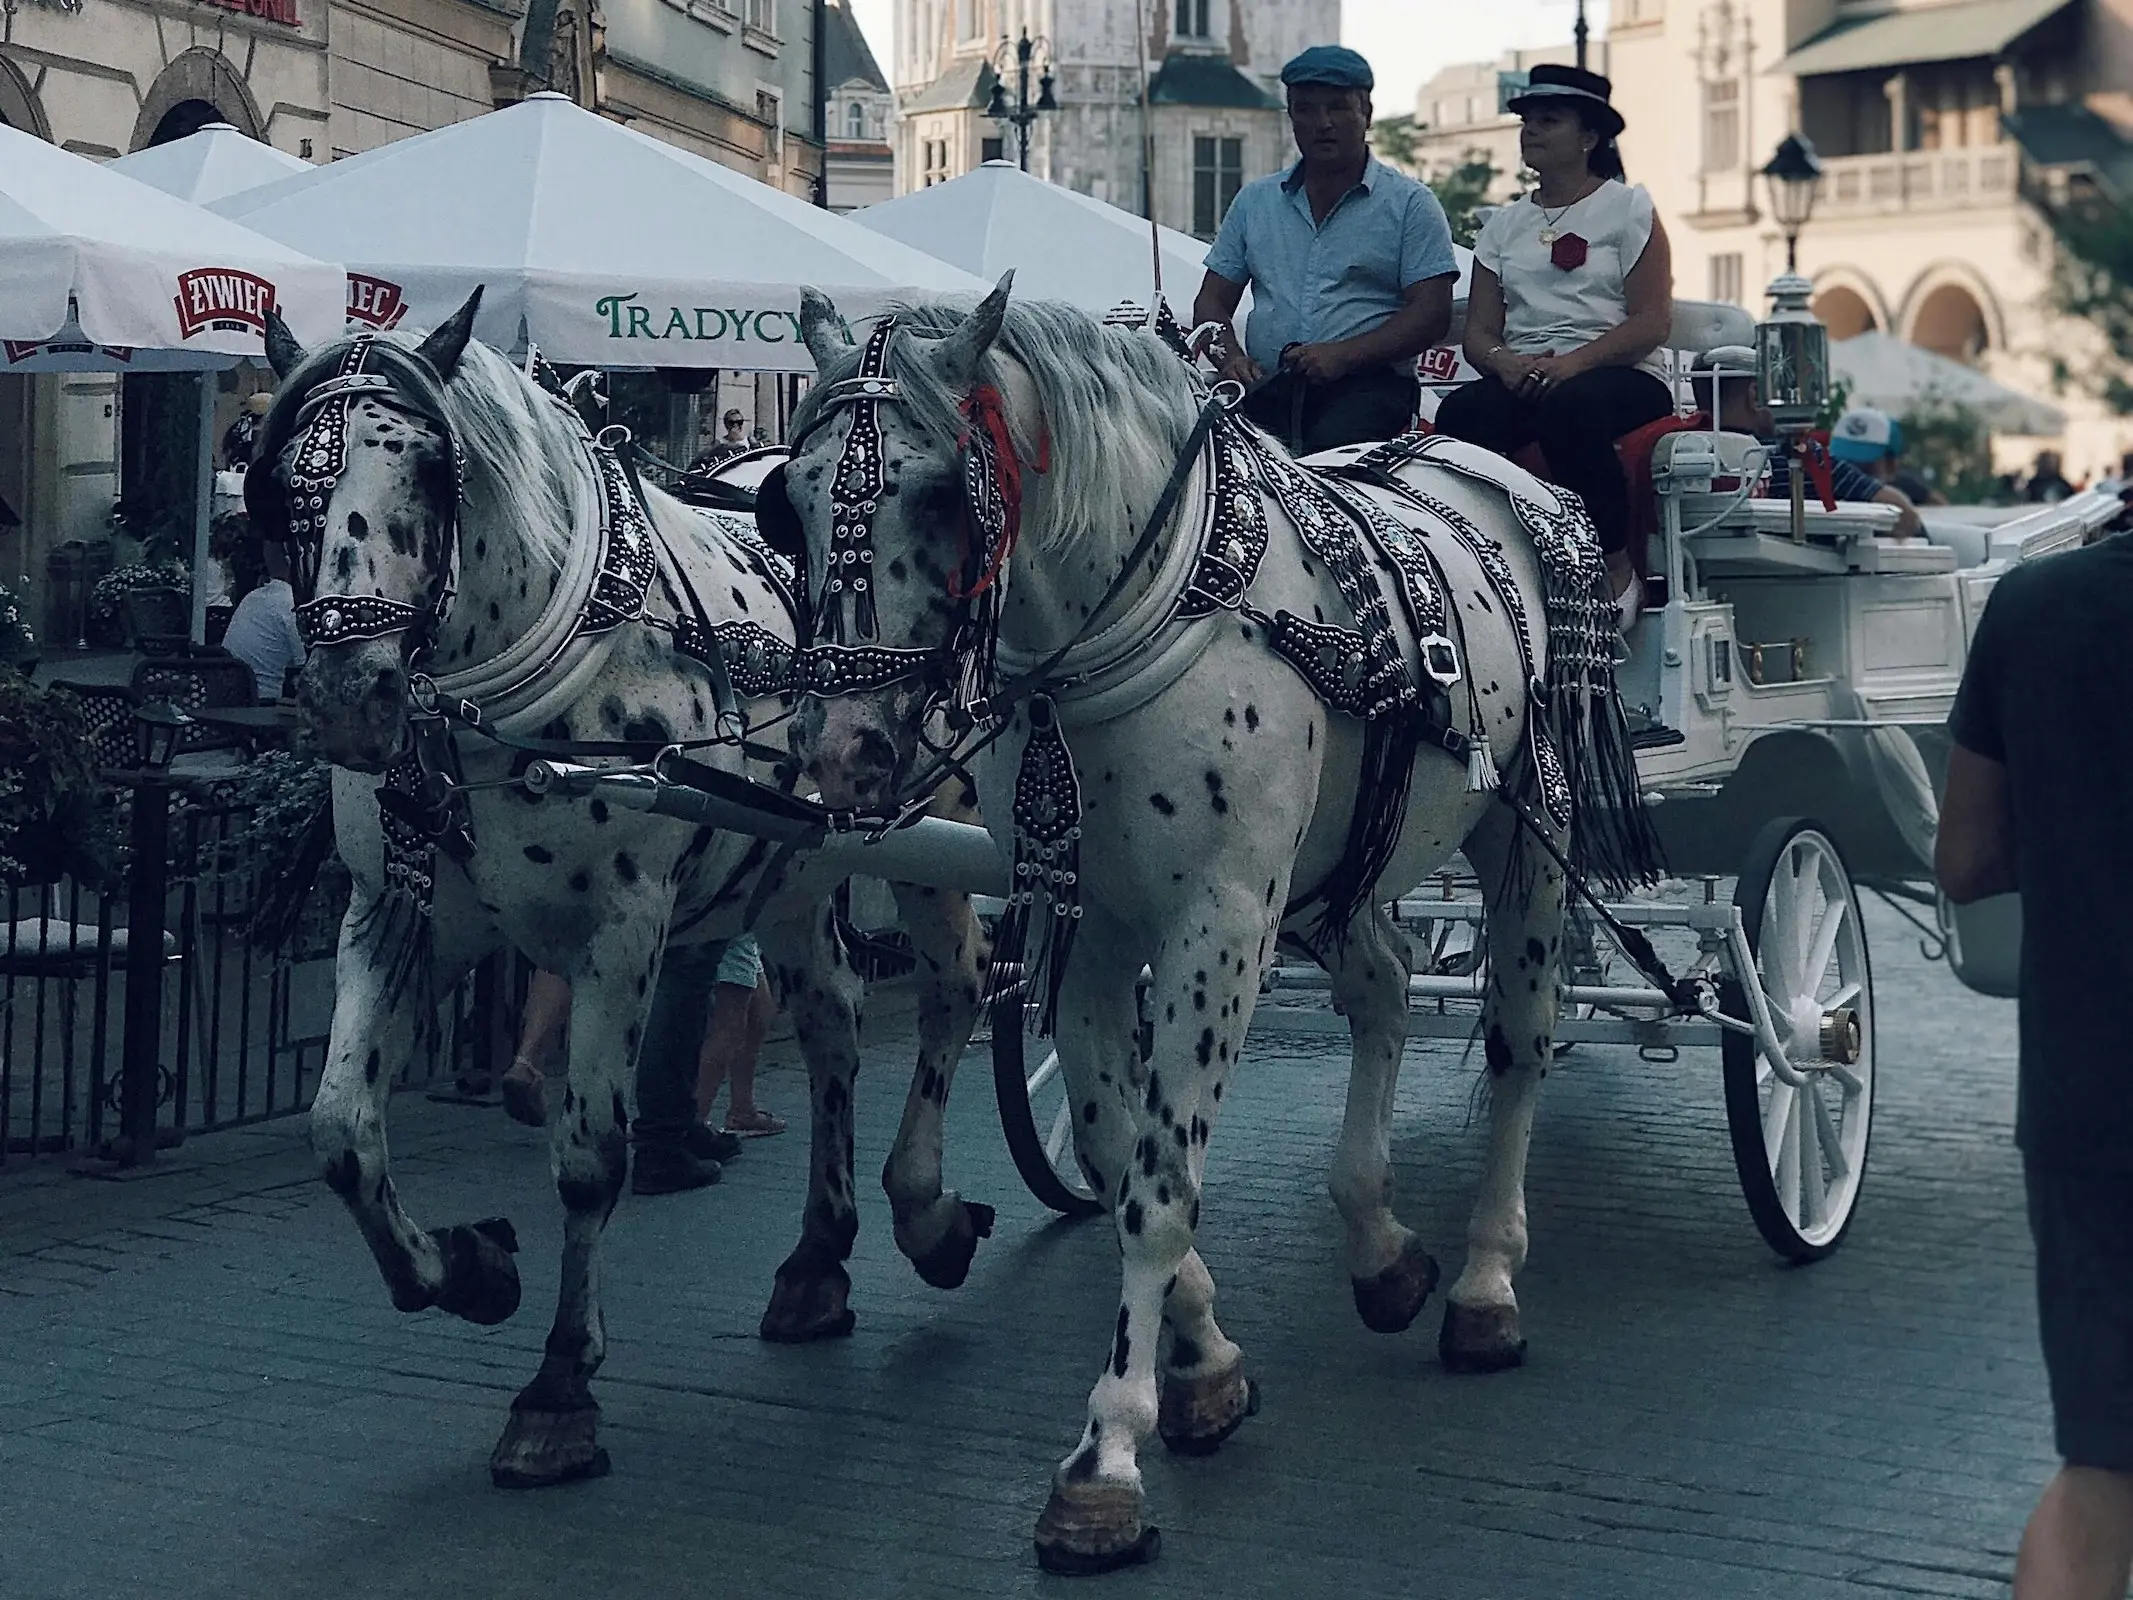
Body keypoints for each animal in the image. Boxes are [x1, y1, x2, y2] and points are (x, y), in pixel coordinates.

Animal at [253, 294, 1002, 1501]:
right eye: (283, 482)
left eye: (428, 467)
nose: (347, 697)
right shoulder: (390, 911)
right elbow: (343, 1135)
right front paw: (468, 1268)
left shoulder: (625, 929)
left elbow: (589, 1158)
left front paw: (557, 1390)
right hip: (792, 869)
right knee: (833, 1023)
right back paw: (816, 1260)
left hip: (940, 830)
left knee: (958, 992)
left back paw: (926, 1215)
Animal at [772, 281, 1663, 1570]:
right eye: (785, 500)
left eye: (941, 491)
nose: (842, 749)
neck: (1132, 622)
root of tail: (1504, 475)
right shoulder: (1096, 927)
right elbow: (1113, 1150)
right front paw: (1203, 1365)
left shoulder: (1220, 919)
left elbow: (1160, 1182)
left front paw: (1107, 1452)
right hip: (1338, 865)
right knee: (1388, 983)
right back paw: (1381, 1245)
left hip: (1525, 829)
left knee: (1519, 1039)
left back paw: (1486, 1283)